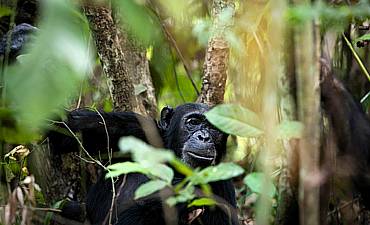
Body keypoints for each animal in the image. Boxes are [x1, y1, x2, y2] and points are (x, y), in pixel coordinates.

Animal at [47, 103, 237, 225]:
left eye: (213, 128)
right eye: (193, 122)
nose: (204, 137)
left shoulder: (222, 185)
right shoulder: (131, 127)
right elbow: (63, 130)